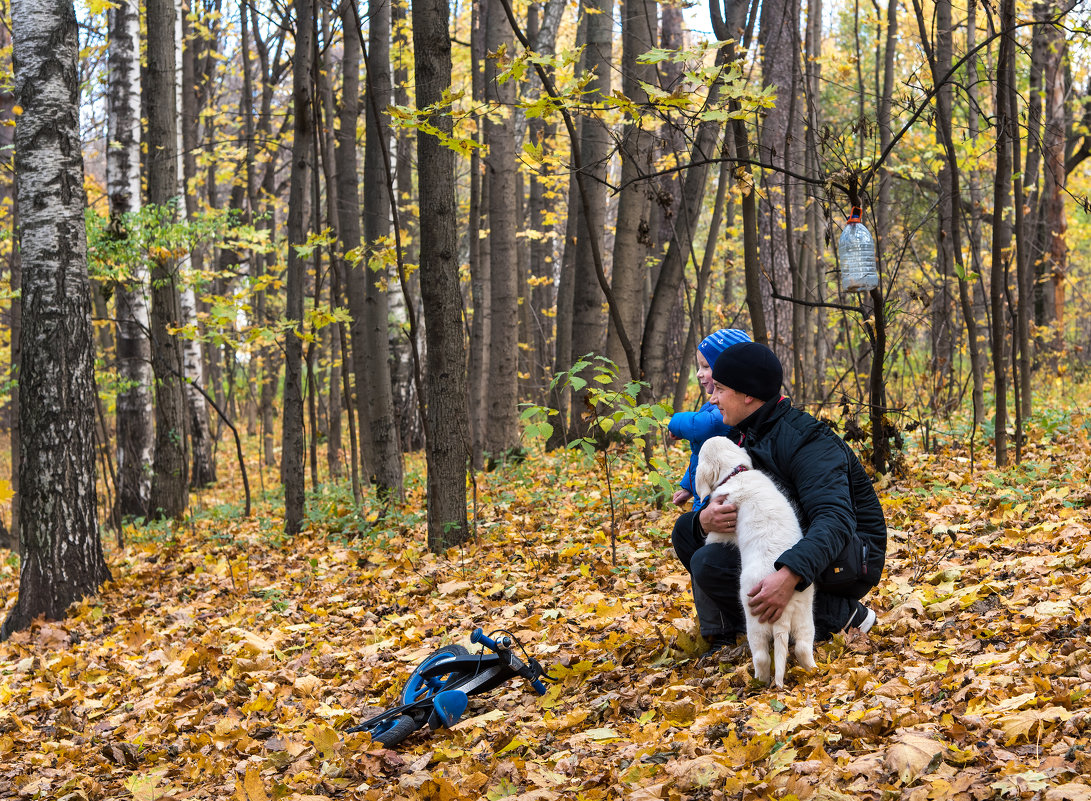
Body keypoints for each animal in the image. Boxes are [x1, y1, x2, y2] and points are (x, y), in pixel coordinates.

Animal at [693, 436, 816, 685]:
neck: (736, 474)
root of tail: (784, 610)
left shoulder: (722, 530)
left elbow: (711, 537)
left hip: (754, 621)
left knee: (761, 657)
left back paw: (758, 681)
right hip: (805, 615)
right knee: (802, 647)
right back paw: (815, 671)